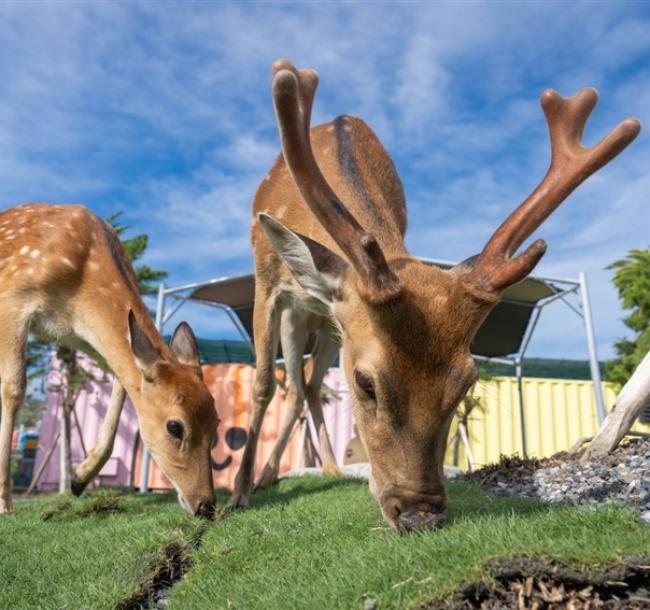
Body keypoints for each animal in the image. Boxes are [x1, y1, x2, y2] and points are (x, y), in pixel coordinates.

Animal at [0, 204, 218, 512]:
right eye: (175, 426)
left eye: (216, 423)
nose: (206, 506)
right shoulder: (12, 299)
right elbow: (14, 388)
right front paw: (4, 502)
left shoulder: (79, 334)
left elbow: (122, 379)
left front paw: (80, 478)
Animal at [232, 58, 636, 532]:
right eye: (365, 383)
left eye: (466, 382)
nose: (418, 513)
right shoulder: (266, 279)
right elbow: (261, 383)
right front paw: (238, 493)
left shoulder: (339, 321)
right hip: (297, 317)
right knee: (292, 384)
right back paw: (265, 477)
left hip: (327, 329)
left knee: (306, 388)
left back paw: (328, 469)